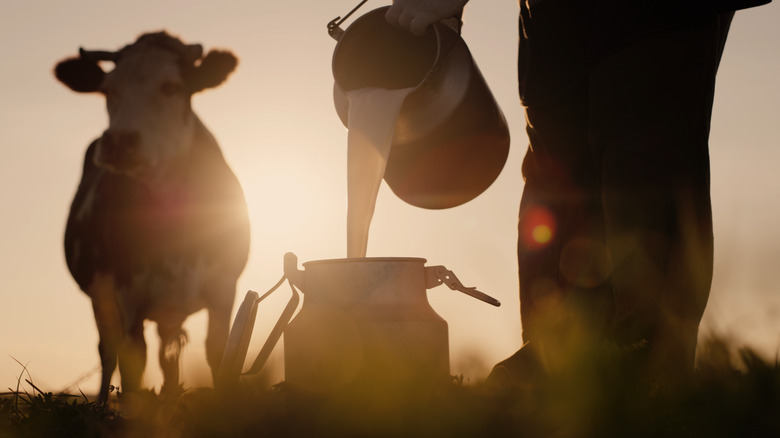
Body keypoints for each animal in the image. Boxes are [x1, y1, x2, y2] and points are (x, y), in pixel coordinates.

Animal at [54, 30, 250, 402]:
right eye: (108, 89)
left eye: (171, 86)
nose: (118, 142)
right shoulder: (129, 297)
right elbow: (133, 365)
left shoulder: (224, 288)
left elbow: (218, 353)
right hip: (102, 297)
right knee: (108, 351)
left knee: (167, 354)